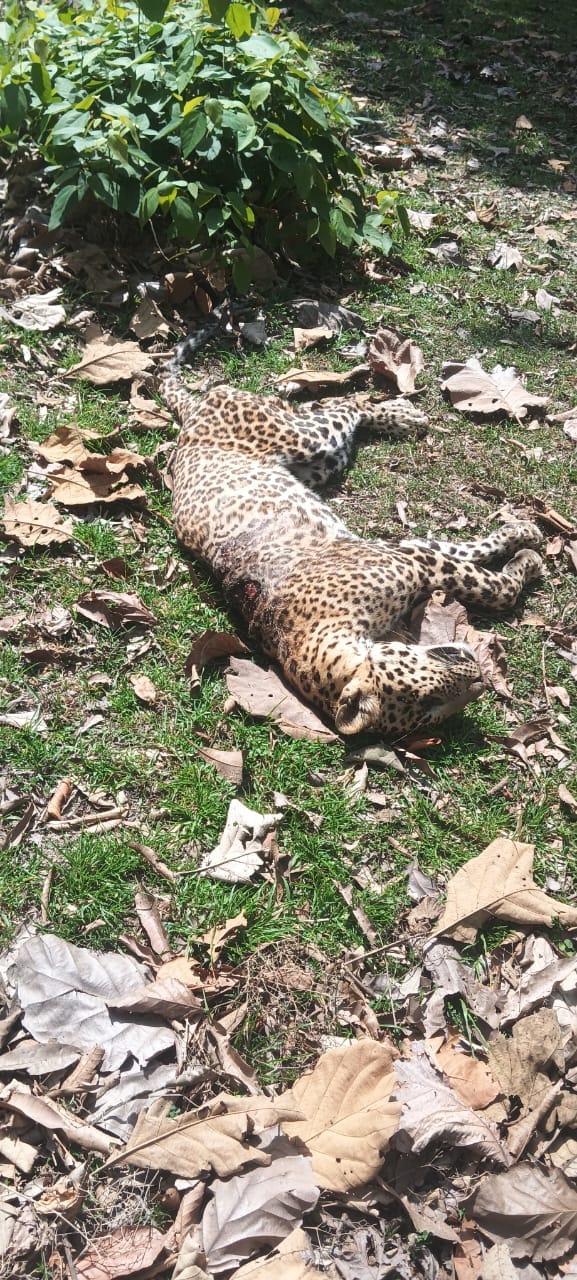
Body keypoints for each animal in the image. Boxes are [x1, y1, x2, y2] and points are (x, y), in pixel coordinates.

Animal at [161, 364, 544, 737]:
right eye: (432, 708)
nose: (479, 678)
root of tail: (192, 409)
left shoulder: (405, 555)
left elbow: (469, 557)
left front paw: (523, 532)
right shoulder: (412, 558)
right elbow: (495, 588)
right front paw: (527, 555)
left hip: (309, 442)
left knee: (341, 405)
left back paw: (403, 415)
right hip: (322, 459)